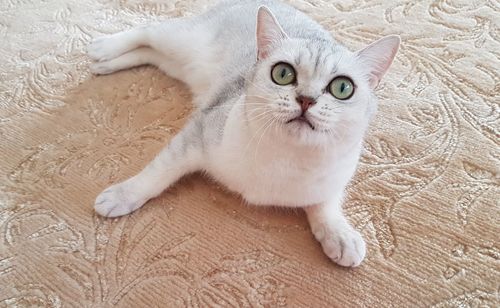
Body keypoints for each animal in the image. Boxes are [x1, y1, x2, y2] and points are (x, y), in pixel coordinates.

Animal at [89, 0, 398, 268]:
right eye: (283, 73)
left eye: (342, 88)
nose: (306, 99)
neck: (286, 159)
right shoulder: (198, 133)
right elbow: (156, 175)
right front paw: (121, 196)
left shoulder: (331, 182)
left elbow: (327, 207)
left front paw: (341, 237)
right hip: (181, 42)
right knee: (148, 30)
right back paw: (103, 47)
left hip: (177, 65)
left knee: (149, 53)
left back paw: (104, 64)